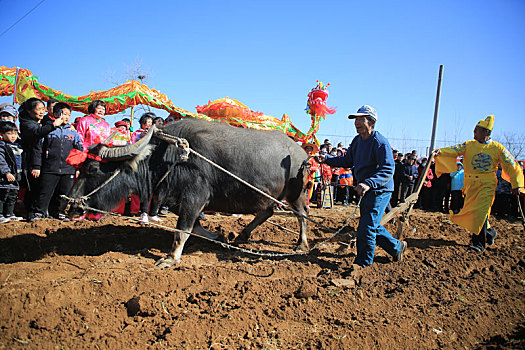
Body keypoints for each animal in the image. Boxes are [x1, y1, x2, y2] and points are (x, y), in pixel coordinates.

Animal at [67, 117, 310, 266]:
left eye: (92, 168)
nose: (70, 205)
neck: (167, 157)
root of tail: (302, 153)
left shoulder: (194, 198)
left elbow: (181, 230)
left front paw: (170, 258)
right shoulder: (178, 201)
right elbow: (196, 227)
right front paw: (218, 237)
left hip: (296, 194)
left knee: (302, 215)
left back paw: (301, 244)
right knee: (267, 211)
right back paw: (242, 235)